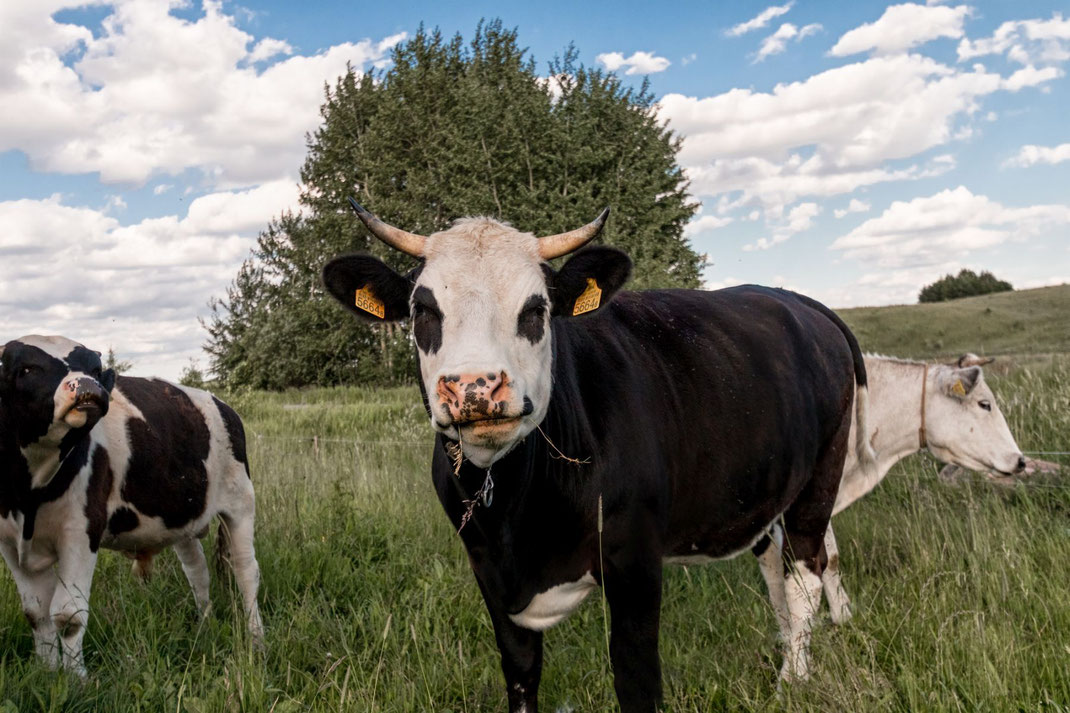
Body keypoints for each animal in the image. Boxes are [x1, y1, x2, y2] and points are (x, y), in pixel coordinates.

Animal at [0, 334, 263, 672]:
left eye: (95, 369)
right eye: (27, 369)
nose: (86, 385)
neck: (28, 495)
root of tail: (221, 403)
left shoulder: (80, 531)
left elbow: (68, 616)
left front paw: (75, 679)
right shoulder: (9, 542)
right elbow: (36, 614)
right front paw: (47, 673)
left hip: (241, 502)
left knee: (245, 570)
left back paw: (256, 640)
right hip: (183, 518)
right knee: (197, 571)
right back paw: (205, 626)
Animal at [323, 201, 877, 710]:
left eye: (536, 309)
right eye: (423, 310)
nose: (475, 387)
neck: (516, 515)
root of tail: (794, 299)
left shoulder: (634, 559)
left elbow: (636, 680)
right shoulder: (489, 574)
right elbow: (521, 675)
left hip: (821, 475)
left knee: (806, 568)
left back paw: (793, 678)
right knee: (774, 566)